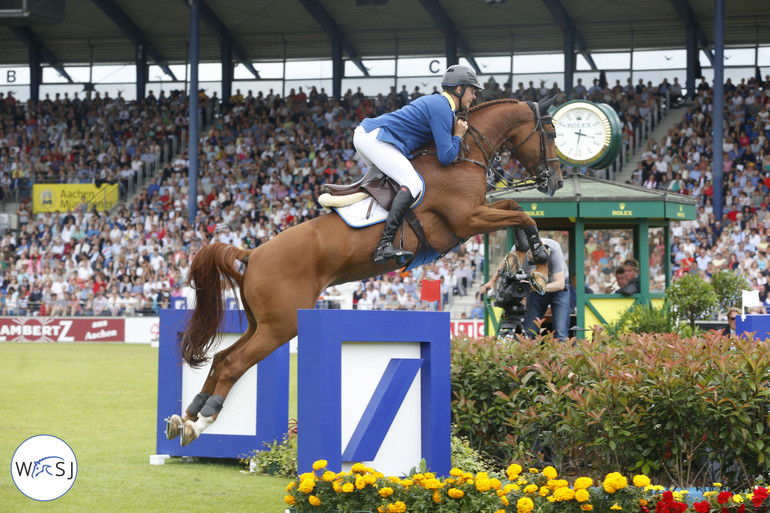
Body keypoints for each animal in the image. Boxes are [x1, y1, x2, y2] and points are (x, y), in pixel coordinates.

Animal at [166, 97, 564, 444]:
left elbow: (516, 209)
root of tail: (252, 253)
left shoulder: (477, 215)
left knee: (221, 359)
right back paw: (200, 422)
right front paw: (539, 261)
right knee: (233, 364)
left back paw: (185, 418)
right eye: (551, 133)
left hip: (261, 323)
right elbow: (521, 213)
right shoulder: (467, 220)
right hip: (281, 326)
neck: (463, 157)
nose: (556, 182)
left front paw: (528, 261)